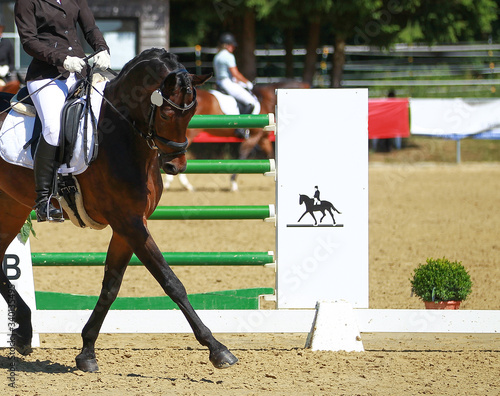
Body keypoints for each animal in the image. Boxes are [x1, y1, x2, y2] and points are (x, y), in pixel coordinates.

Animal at [0, 48, 238, 372]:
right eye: (166, 114)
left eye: (192, 113)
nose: (176, 166)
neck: (124, 136)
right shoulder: (128, 222)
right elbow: (171, 282)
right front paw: (217, 348)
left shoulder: (130, 225)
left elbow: (111, 286)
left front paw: (87, 351)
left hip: (11, 206)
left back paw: (23, 333)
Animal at [166, 79, 308, 191]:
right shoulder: (253, 137)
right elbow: (243, 155)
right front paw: (233, 183)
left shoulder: (262, 138)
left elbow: (270, 154)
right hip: (189, 134)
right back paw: (180, 183)